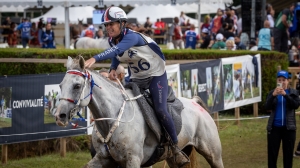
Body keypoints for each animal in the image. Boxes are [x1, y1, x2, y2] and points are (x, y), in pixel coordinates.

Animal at [55, 56, 224, 168]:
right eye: (60, 85)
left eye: (77, 86)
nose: (60, 116)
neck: (113, 119)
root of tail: (195, 102)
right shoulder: (103, 158)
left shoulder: (133, 160)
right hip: (175, 158)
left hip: (214, 155)